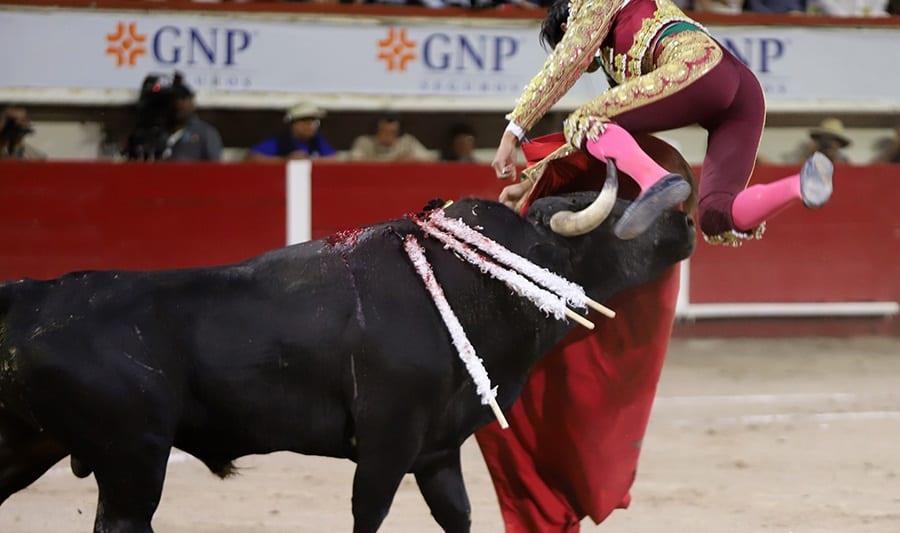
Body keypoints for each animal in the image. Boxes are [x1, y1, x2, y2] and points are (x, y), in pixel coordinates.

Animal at [0, 193, 696, 528]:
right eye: (615, 221)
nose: (687, 219)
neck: (472, 283)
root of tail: (32, 299)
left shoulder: (437, 451)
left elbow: (458, 516)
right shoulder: (387, 442)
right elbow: (370, 513)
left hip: (32, 448)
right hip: (133, 462)